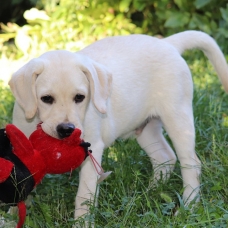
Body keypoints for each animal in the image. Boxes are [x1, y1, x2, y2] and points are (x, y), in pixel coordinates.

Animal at [8, 30, 228, 219]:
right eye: (46, 99)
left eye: (80, 97)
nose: (67, 130)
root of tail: (168, 43)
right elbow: (20, 183)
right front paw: (12, 215)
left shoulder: (92, 148)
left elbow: (84, 195)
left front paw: (82, 222)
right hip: (146, 128)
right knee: (164, 157)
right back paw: (149, 192)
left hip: (178, 117)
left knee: (190, 163)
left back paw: (188, 206)